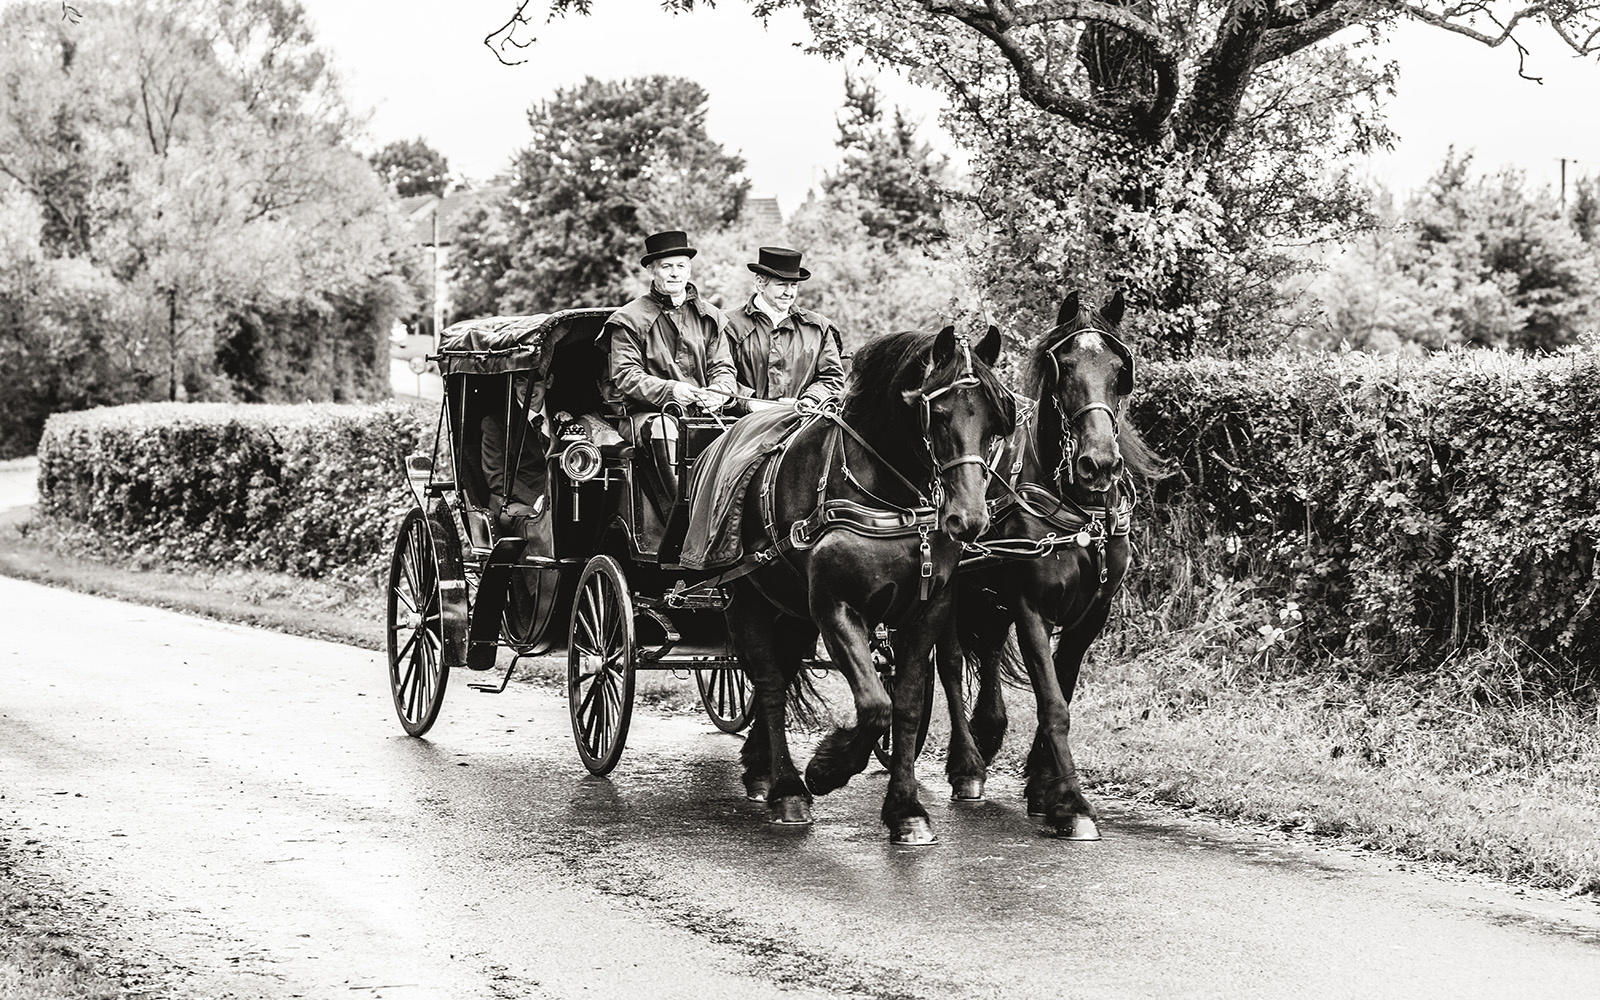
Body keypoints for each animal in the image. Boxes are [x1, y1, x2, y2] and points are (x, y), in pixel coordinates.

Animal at [726, 326, 1011, 844]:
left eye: (995, 424)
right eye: (939, 416)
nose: (969, 520)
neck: (891, 500)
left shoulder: (926, 613)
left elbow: (906, 707)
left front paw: (906, 810)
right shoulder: (836, 609)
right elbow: (875, 704)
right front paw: (825, 769)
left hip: (792, 611)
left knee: (780, 672)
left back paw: (761, 768)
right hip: (747, 602)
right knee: (771, 684)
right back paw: (787, 789)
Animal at [934, 292, 1177, 838]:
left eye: (1119, 370)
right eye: (1062, 368)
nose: (1100, 463)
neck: (1080, 513)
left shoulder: (1091, 614)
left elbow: (1062, 689)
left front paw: (1043, 786)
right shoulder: (1031, 608)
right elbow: (1052, 703)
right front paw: (1072, 802)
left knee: (985, 658)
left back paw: (988, 733)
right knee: (951, 664)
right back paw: (967, 764)